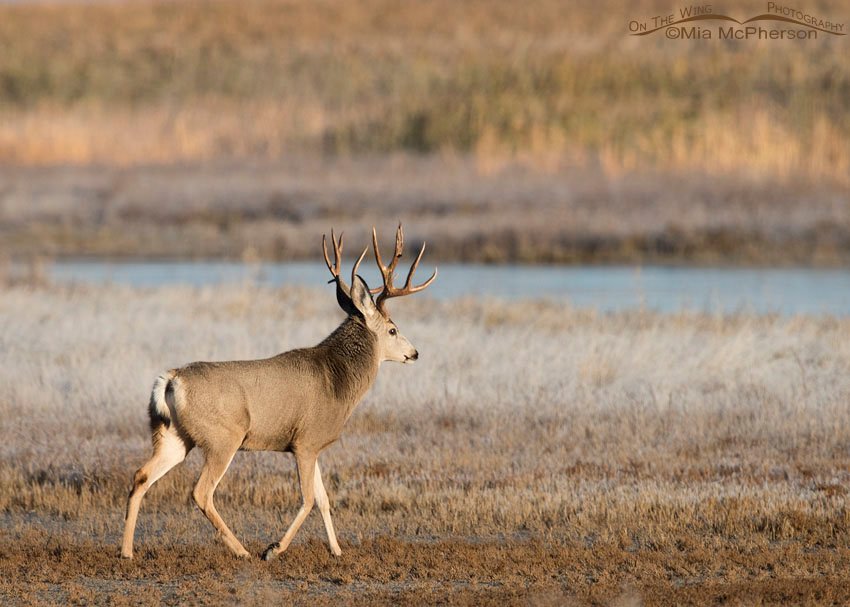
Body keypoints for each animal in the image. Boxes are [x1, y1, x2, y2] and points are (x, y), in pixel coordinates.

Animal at [121, 224, 436, 561]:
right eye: (392, 329)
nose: (415, 353)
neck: (337, 381)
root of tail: (170, 380)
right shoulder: (305, 441)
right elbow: (309, 499)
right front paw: (274, 548)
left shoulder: (313, 445)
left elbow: (324, 498)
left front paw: (337, 550)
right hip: (223, 437)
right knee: (201, 491)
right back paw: (243, 551)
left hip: (174, 435)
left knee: (141, 476)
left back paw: (127, 551)